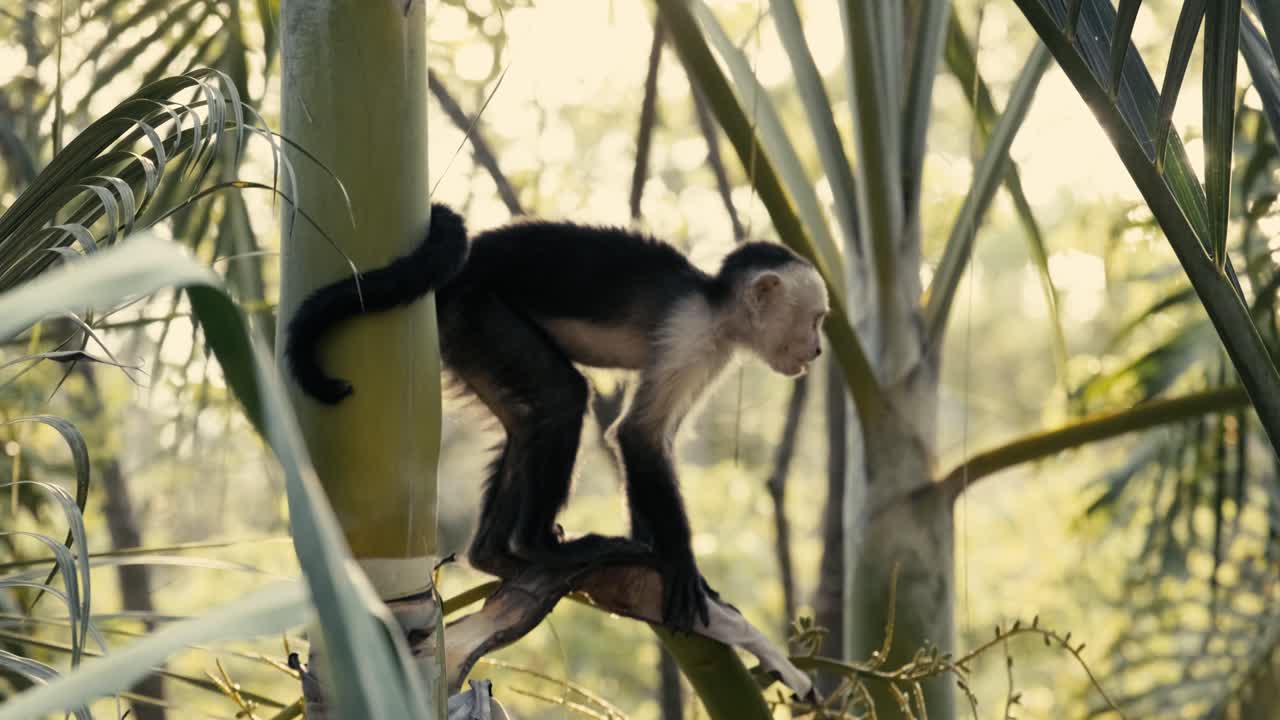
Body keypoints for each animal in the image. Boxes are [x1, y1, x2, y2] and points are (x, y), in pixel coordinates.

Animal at [285, 203, 829, 631]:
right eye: (818, 319)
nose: (820, 349)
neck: (715, 306)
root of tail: (471, 261)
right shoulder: (692, 334)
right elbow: (638, 434)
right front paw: (680, 564)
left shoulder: (711, 352)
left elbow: (651, 440)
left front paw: (652, 546)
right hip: (477, 310)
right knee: (564, 398)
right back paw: (539, 547)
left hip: (460, 336)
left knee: (528, 422)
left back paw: (494, 554)